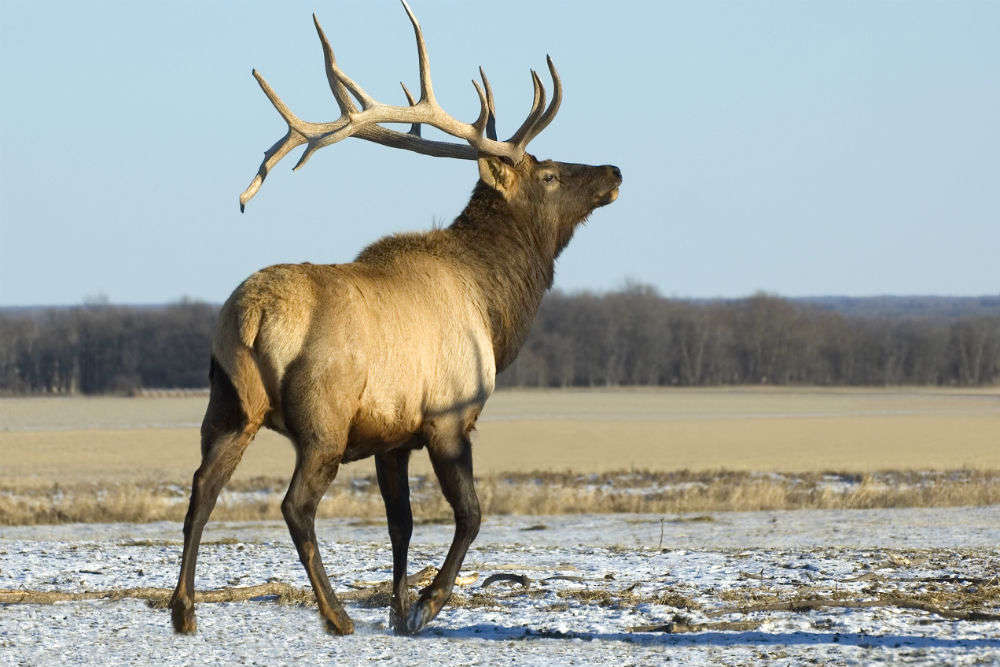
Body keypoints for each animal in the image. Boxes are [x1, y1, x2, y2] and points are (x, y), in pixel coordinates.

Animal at [173, 1, 624, 636]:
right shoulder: (449, 416)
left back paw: (183, 610)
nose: (614, 171)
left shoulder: (391, 437)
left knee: (201, 490)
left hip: (228, 404)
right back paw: (335, 615)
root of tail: (250, 315)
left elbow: (401, 525)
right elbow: (470, 514)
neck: (496, 310)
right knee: (295, 505)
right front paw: (426, 605)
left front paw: (397, 606)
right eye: (549, 173)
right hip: (323, 417)